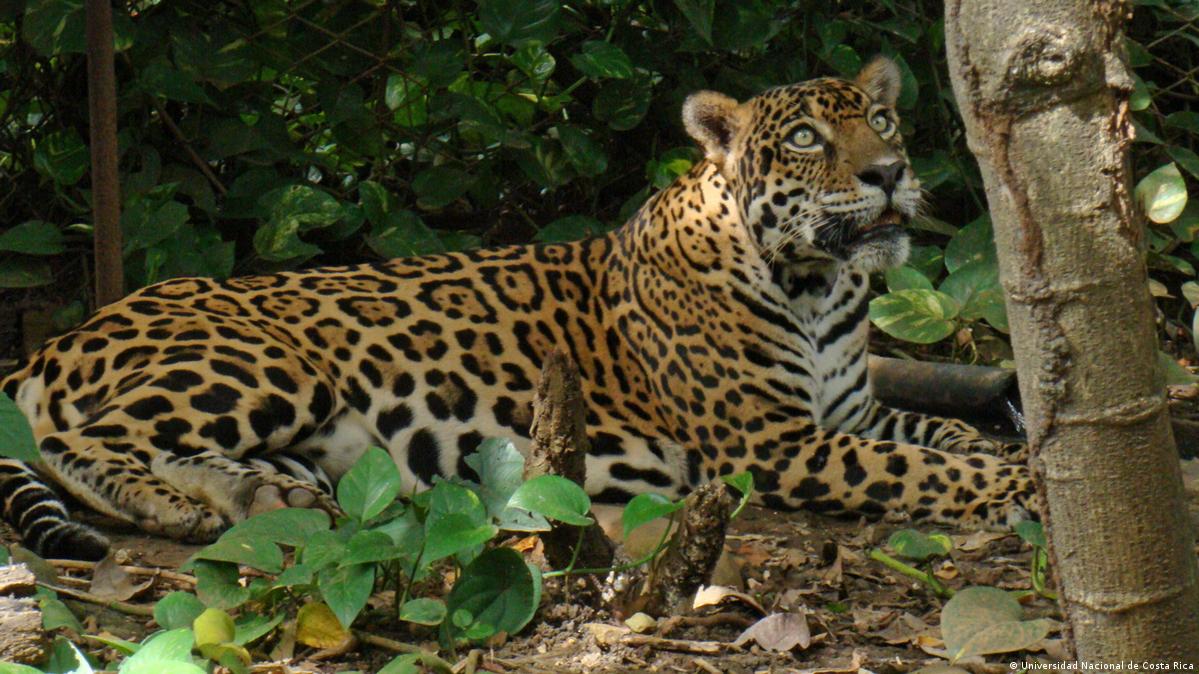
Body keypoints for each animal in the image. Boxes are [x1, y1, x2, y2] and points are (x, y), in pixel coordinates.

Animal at [0, 57, 1036, 561]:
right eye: (808, 140)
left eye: (884, 120)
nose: (891, 173)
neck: (818, 286)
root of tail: (65, 334)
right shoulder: (774, 445)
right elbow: (926, 471)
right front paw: (1019, 490)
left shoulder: (850, 412)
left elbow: (945, 436)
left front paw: (1014, 453)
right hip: (265, 364)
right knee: (78, 443)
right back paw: (170, 508)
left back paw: (262, 496)